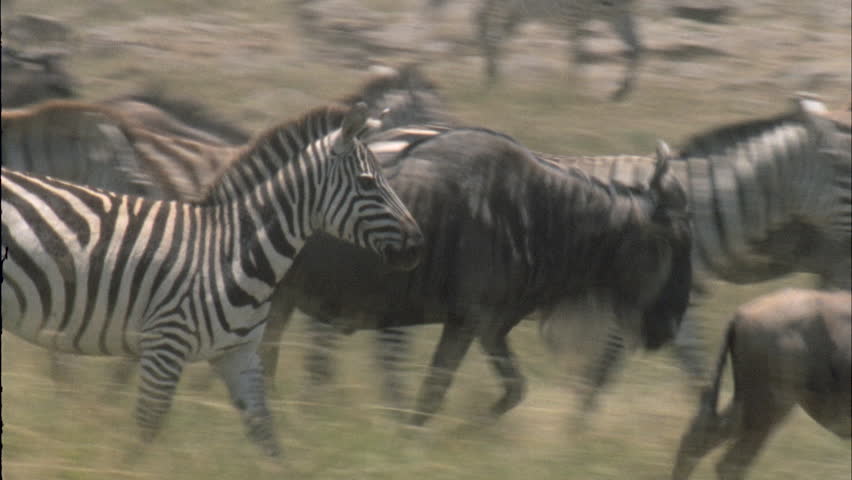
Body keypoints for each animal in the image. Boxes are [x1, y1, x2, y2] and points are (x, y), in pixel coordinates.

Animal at [0, 103, 426, 456]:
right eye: (368, 182)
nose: (417, 246)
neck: (231, 250)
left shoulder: (239, 356)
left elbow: (267, 438)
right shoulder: (164, 347)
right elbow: (146, 430)